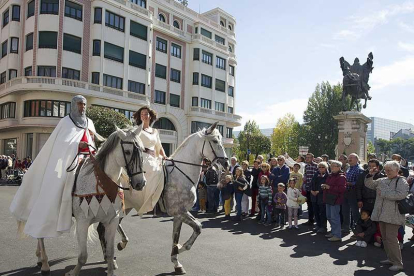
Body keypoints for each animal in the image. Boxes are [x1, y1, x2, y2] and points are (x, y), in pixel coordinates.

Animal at [34, 125, 147, 276]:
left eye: (142, 151)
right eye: (128, 152)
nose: (140, 183)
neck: (101, 184)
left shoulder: (111, 221)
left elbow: (110, 252)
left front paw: (111, 268)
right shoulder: (82, 222)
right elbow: (83, 256)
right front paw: (73, 273)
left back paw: (40, 258)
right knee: (39, 233)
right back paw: (45, 263)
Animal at [100, 122, 230, 274]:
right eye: (215, 141)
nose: (226, 164)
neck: (182, 173)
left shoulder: (180, 214)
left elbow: (177, 236)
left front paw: (176, 261)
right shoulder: (179, 212)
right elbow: (198, 227)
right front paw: (181, 248)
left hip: (124, 208)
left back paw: (115, 251)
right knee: (103, 228)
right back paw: (111, 256)